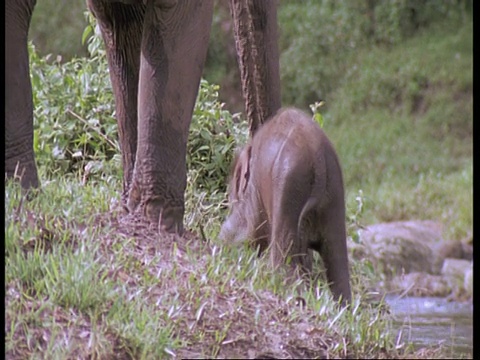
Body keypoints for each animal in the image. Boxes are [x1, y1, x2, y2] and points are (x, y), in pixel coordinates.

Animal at [219, 107, 350, 304]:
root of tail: (319, 162)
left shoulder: (254, 191)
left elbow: (250, 234)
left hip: (288, 190)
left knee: (283, 261)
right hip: (334, 197)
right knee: (338, 264)